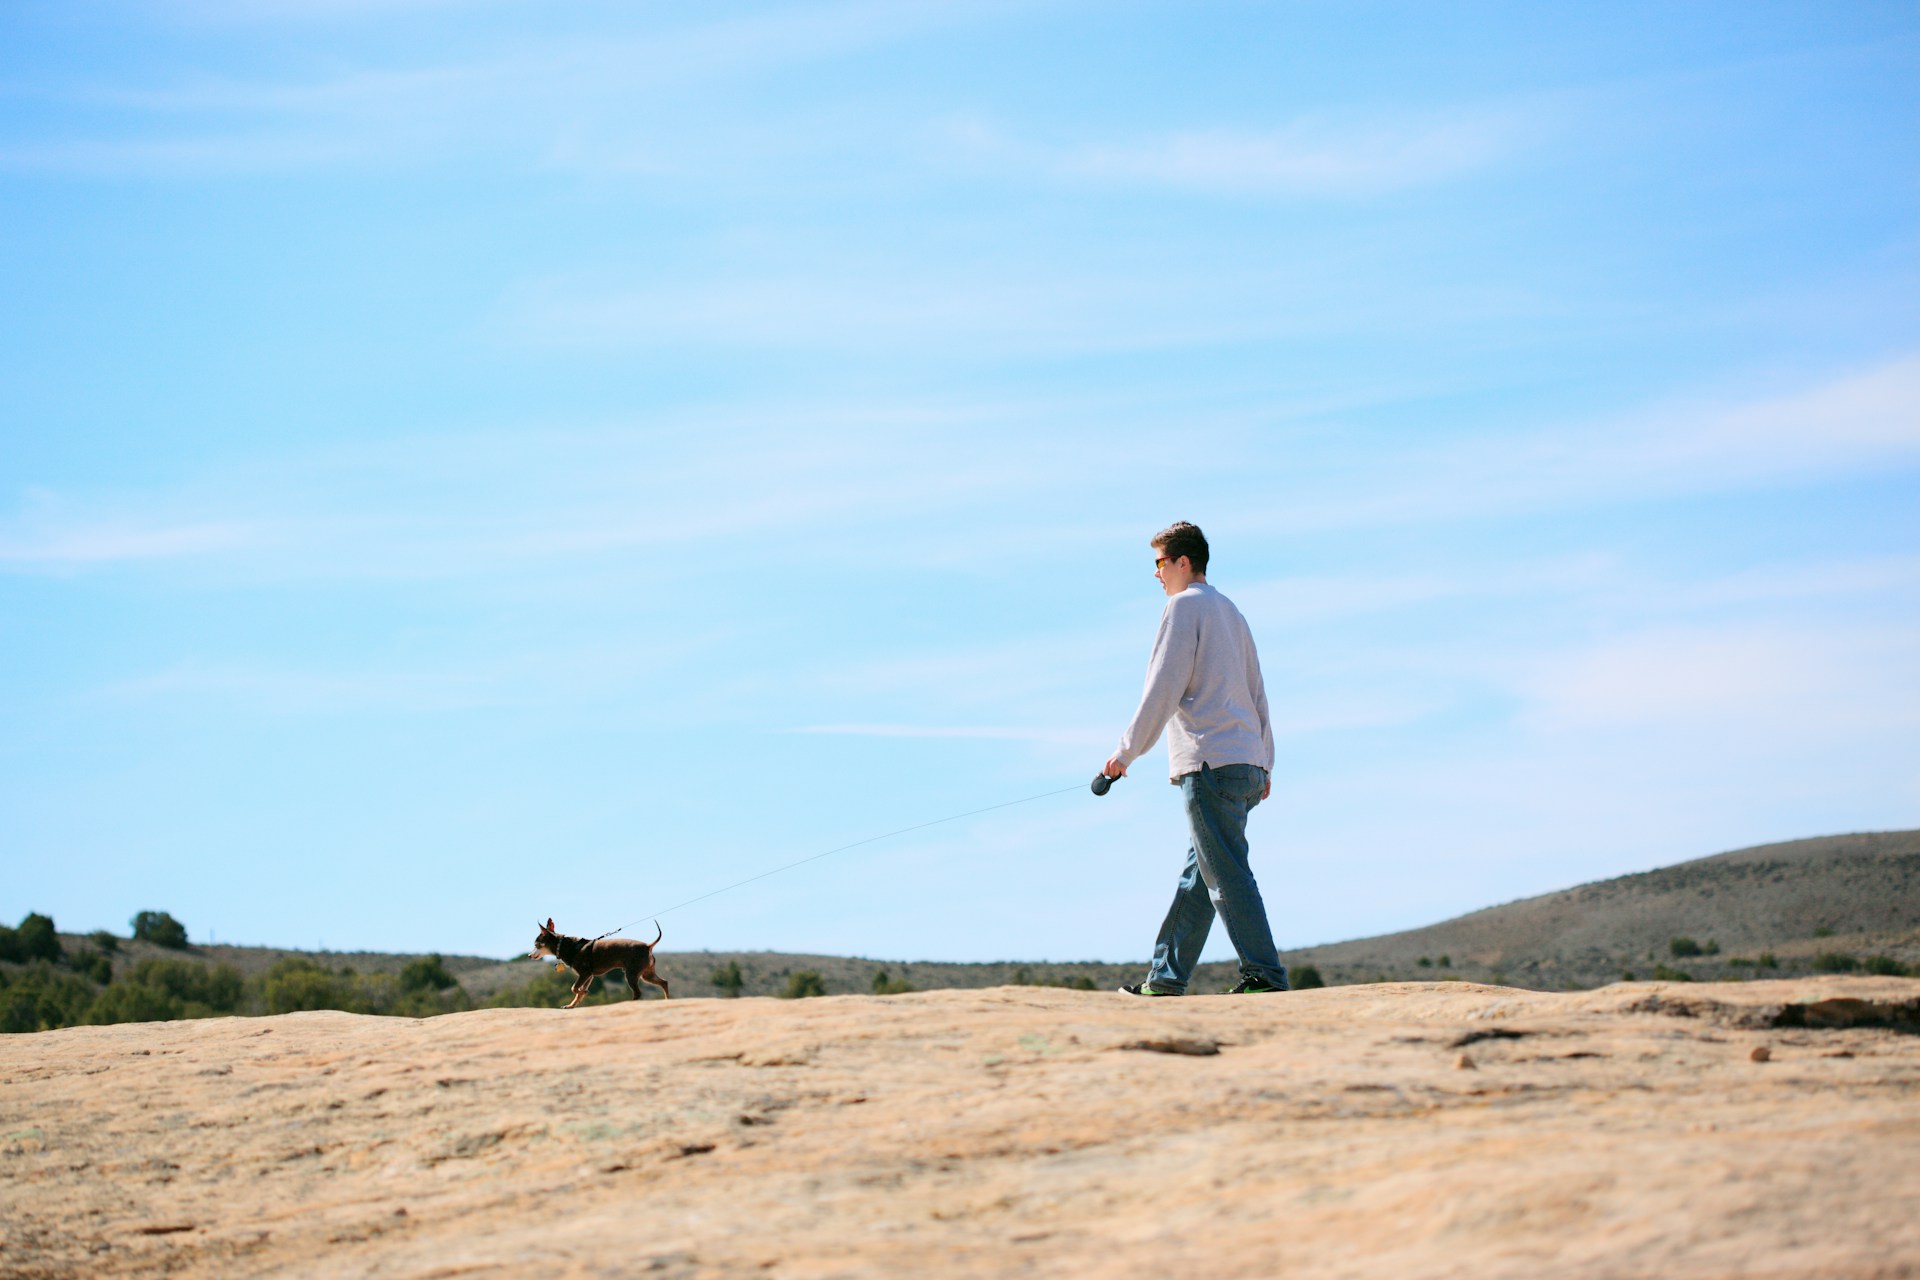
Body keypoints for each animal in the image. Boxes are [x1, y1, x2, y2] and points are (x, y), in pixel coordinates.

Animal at [529, 921, 672, 1013]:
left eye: (537, 944)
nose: (529, 955)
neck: (567, 946)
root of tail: (648, 946)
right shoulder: (589, 976)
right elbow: (578, 993)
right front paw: (571, 1005)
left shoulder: (584, 973)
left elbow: (574, 988)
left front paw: (583, 992)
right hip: (647, 974)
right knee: (664, 982)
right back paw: (667, 1000)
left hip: (631, 974)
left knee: (638, 993)